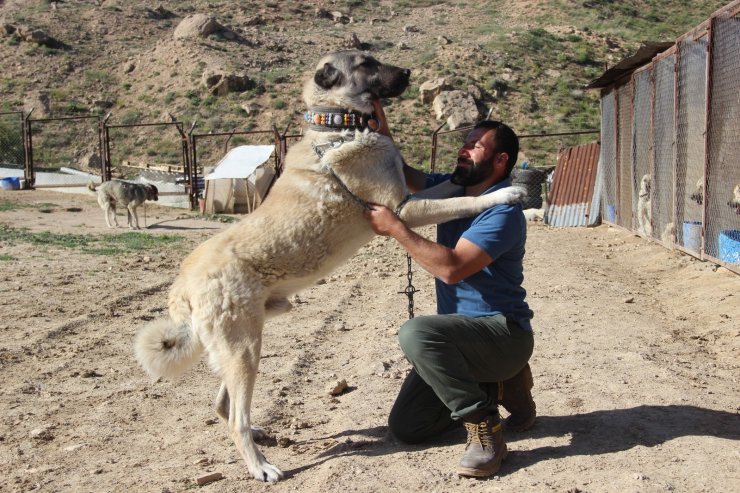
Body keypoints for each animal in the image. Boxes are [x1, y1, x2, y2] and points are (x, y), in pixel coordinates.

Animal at [134, 52, 528, 482]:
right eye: (367, 63)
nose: (408, 73)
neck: (340, 124)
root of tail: (181, 283)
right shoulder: (404, 209)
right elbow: (464, 199)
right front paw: (506, 192)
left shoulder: (413, 196)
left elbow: (455, 185)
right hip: (243, 347)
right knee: (235, 416)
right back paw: (261, 466)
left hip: (240, 341)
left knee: (225, 405)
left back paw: (260, 435)